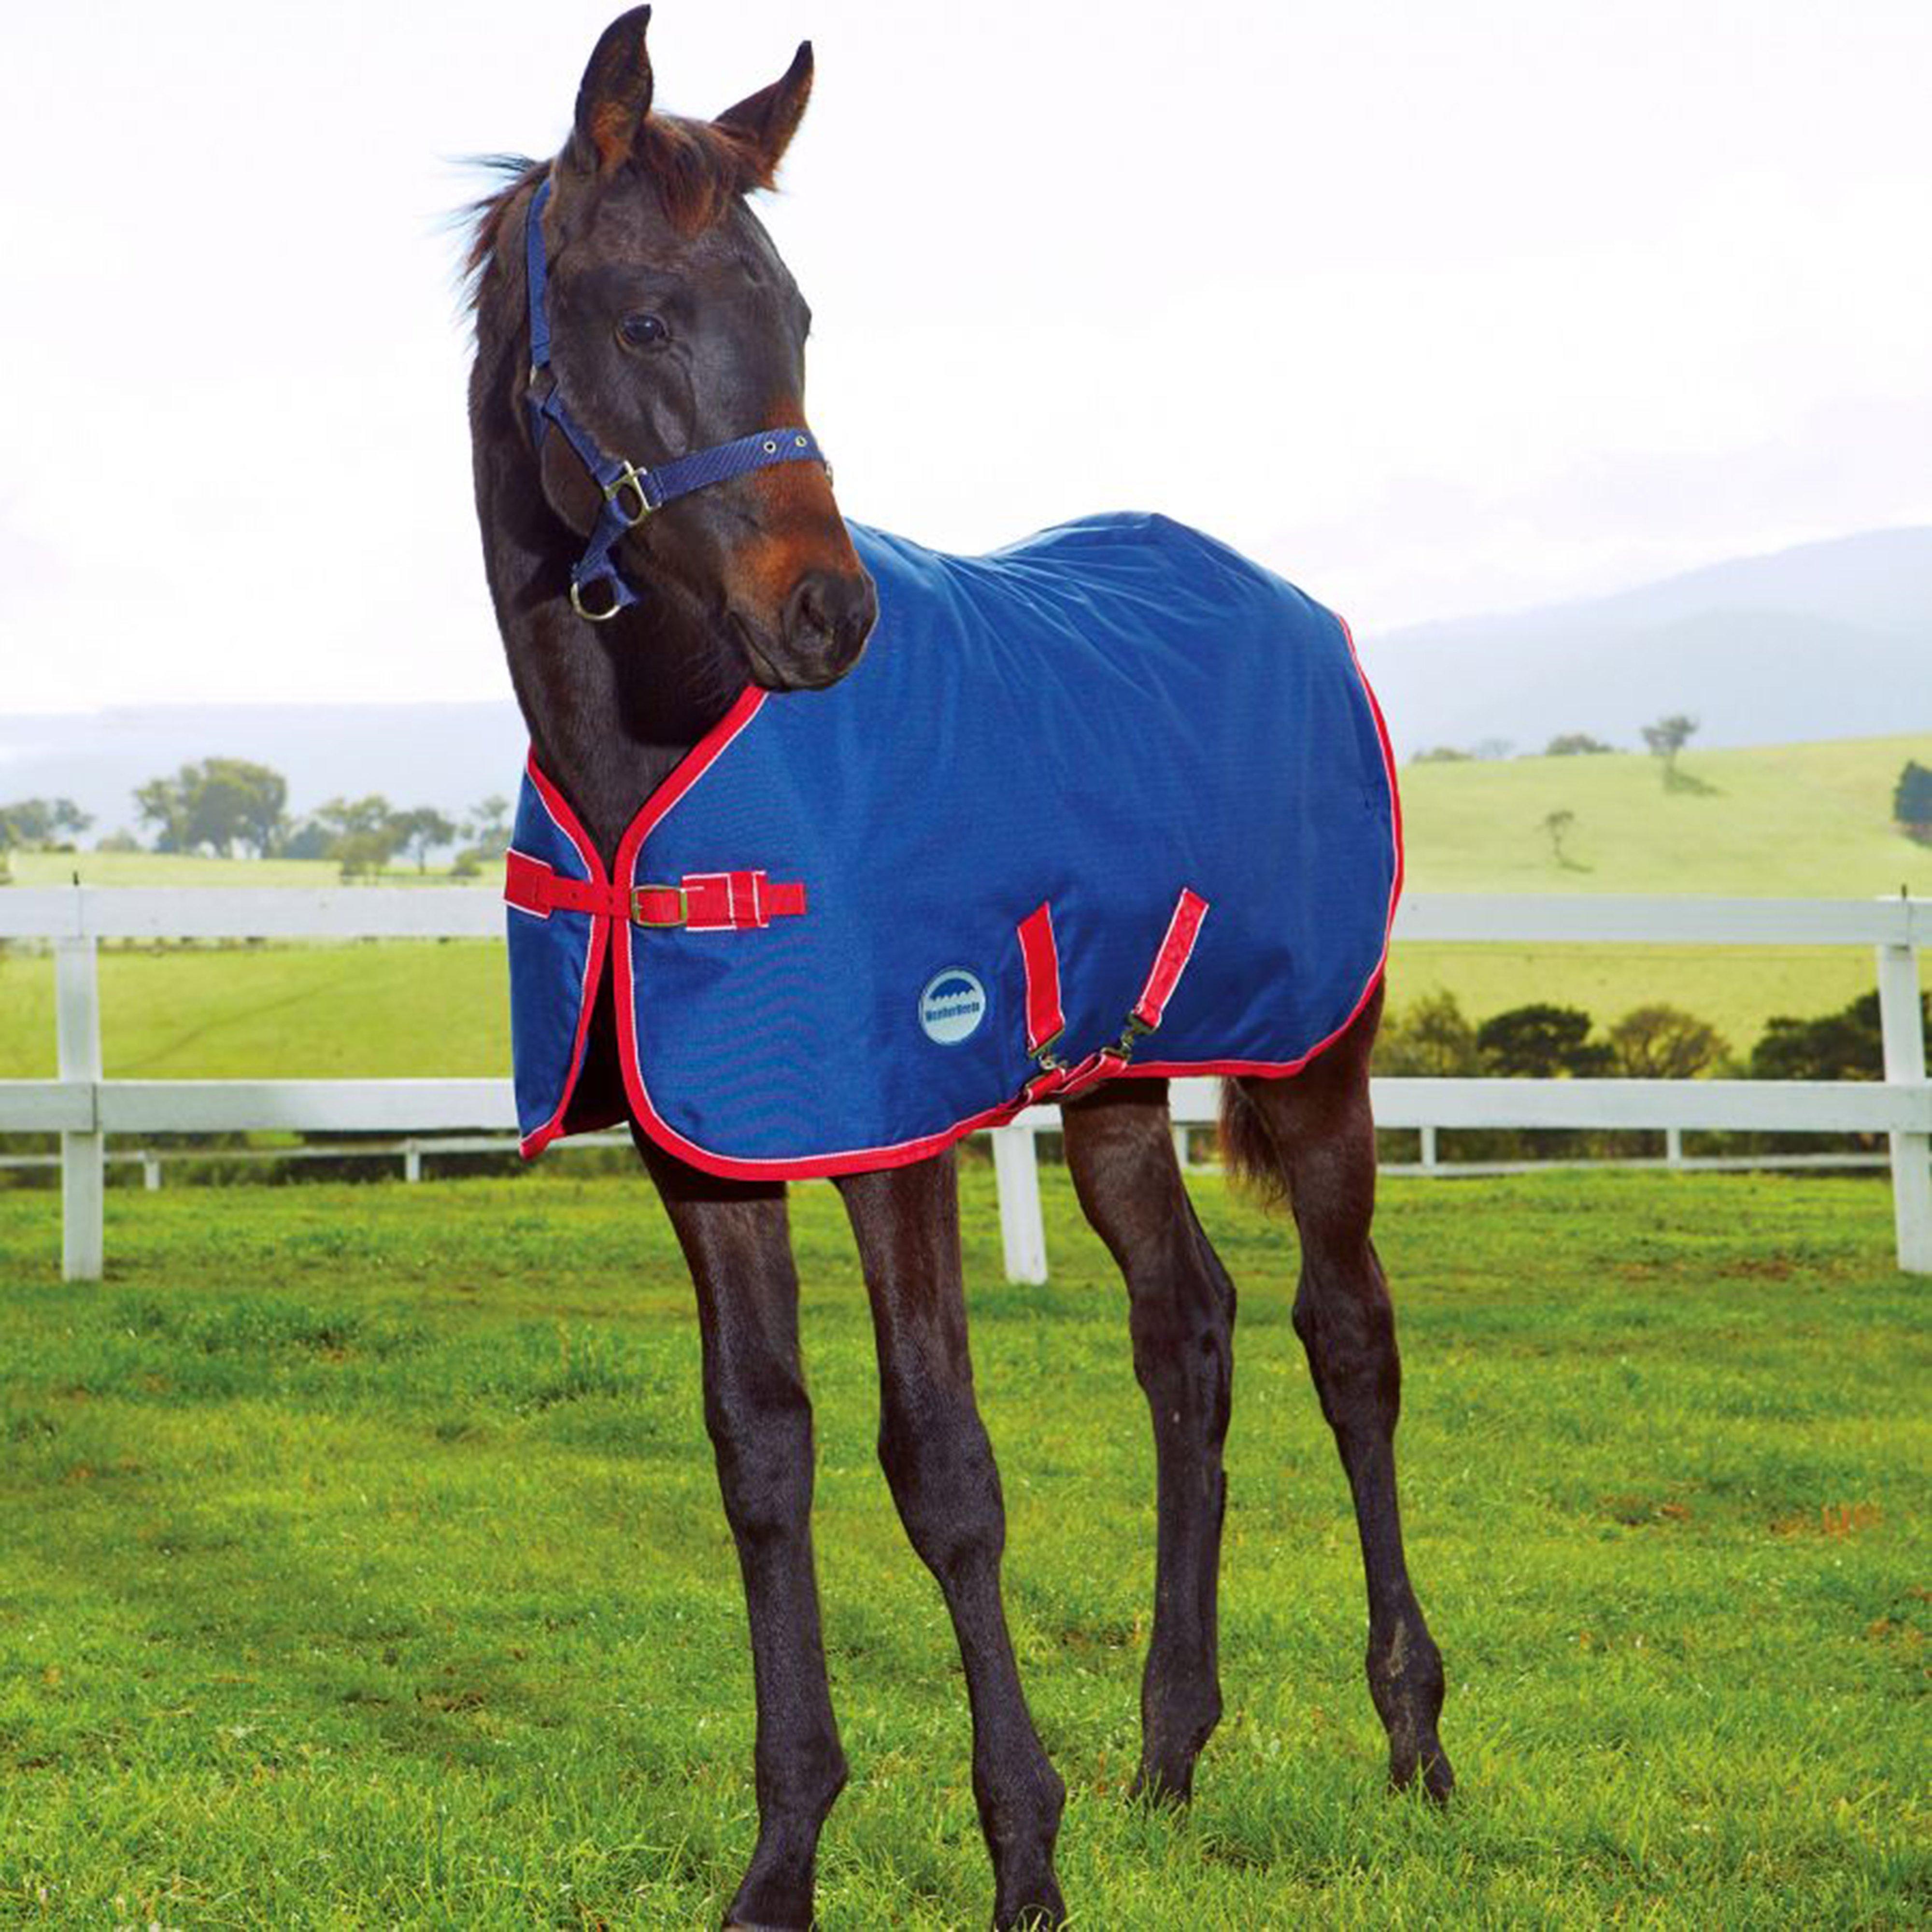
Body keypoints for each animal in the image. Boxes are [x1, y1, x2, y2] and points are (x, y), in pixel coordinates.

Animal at [463, 11, 1450, 1926]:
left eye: (797, 315)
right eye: (643, 320)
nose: (826, 615)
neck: (661, 764)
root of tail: (1300, 611)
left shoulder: (894, 1134)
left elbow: (941, 1467)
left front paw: (1023, 1856)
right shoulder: (710, 1151)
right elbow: (760, 1454)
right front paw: (781, 1860)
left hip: (1316, 1060)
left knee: (1345, 1334)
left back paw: (1413, 1738)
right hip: (1121, 1081)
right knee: (1186, 1330)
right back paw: (1168, 1749)